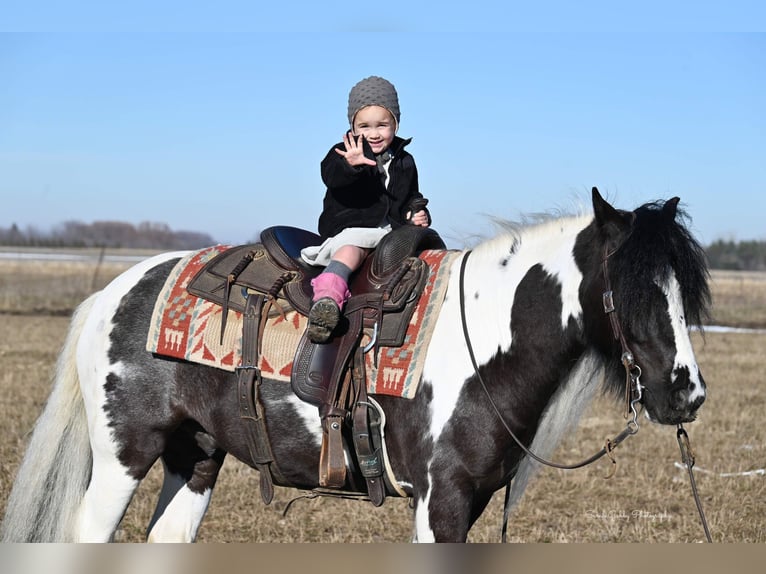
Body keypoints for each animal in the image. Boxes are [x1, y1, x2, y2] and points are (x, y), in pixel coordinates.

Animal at [0, 190, 712, 544]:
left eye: (684, 288)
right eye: (631, 289)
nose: (688, 395)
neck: (482, 343)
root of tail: (113, 292)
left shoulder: (476, 503)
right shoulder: (440, 501)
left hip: (195, 454)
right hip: (124, 453)